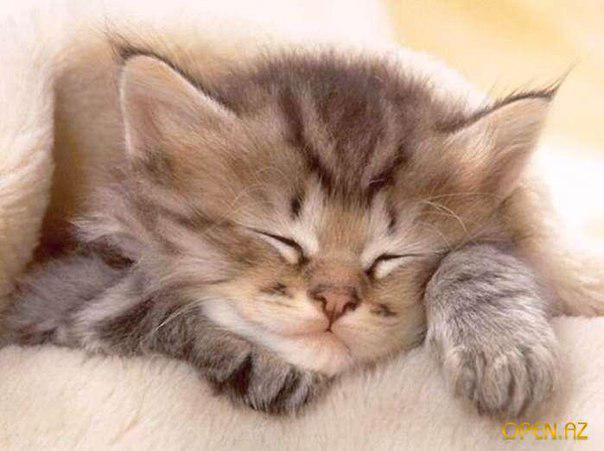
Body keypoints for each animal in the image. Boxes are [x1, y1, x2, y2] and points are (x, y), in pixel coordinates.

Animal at [2, 46, 560, 416]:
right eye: (281, 239)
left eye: (390, 256)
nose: (336, 300)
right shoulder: (58, 302)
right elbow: (149, 305)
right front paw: (259, 362)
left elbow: (481, 256)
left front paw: (501, 344)